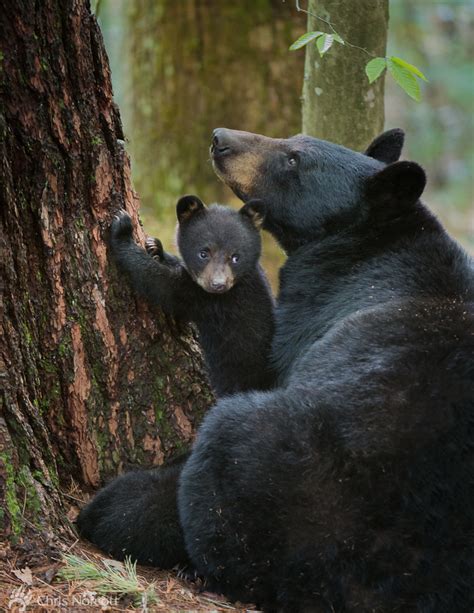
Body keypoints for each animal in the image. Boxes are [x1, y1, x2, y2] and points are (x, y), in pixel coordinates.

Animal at [78, 129, 474, 612]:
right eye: (296, 140)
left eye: (293, 159)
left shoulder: (314, 305)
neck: (364, 244)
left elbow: (251, 365)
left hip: (282, 473)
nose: (221, 139)